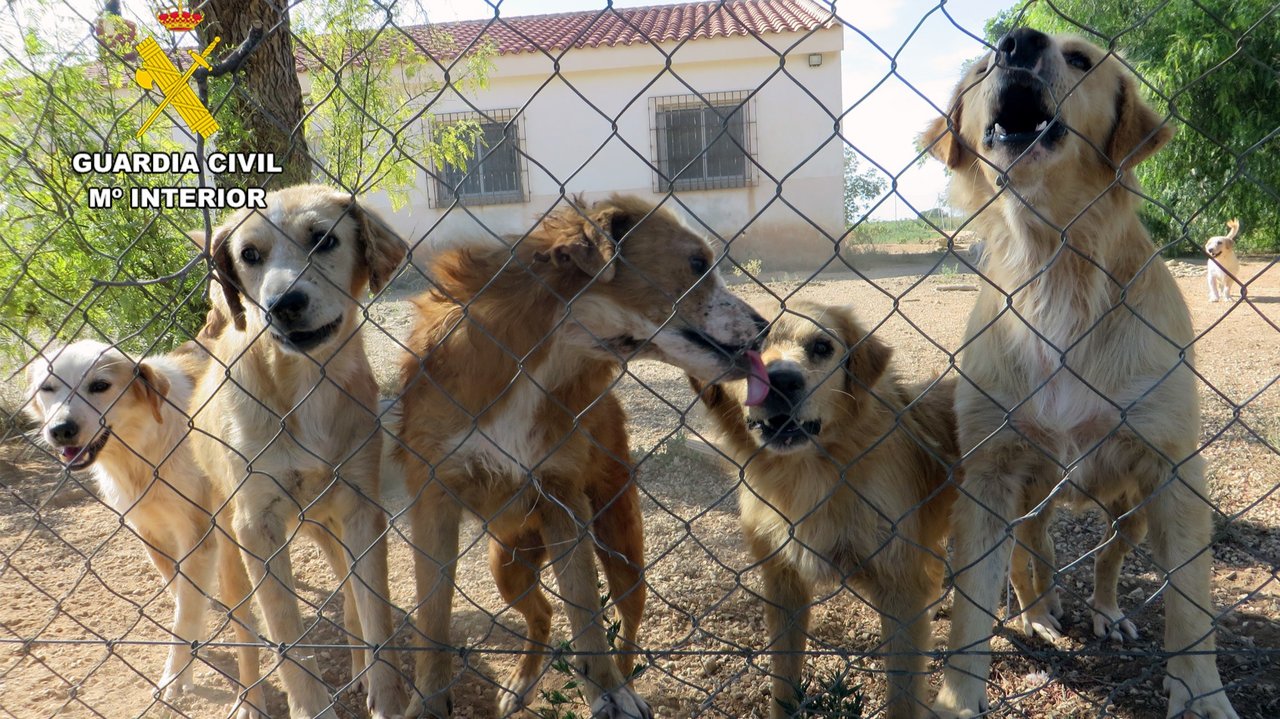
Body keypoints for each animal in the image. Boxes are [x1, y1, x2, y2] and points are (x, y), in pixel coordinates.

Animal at [27, 337, 264, 711]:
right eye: (47, 388)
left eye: (100, 386)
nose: (61, 430)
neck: (141, 452)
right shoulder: (149, 533)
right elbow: (182, 597)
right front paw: (192, 653)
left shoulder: (199, 535)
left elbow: (184, 613)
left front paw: (174, 677)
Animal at [188, 184, 409, 716]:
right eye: (249, 255)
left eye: (323, 239)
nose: (283, 303)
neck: (308, 384)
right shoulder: (257, 526)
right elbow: (286, 636)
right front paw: (309, 705)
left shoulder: (361, 508)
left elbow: (374, 613)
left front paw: (386, 693)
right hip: (231, 550)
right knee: (246, 632)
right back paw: (250, 698)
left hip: (330, 527)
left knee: (349, 597)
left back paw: (358, 671)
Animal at [394, 193, 762, 711]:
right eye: (696, 263)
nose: (767, 327)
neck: (540, 363)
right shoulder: (433, 500)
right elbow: (432, 621)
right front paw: (427, 701)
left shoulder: (562, 499)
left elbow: (587, 612)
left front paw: (610, 693)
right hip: (506, 563)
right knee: (543, 614)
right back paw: (522, 682)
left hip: (622, 548)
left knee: (627, 627)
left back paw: (626, 683)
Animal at [691, 300, 952, 716]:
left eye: (821, 347)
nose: (781, 381)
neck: (808, 475)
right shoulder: (783, 584)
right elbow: (783, 682)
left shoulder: (900, 586)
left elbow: (903, 695)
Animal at [921, 27, 1239, 716]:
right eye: (981, 68)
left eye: (1080, 60)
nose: (1016, 42)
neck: (1052, 265)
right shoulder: (989, 475)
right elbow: (971, 609)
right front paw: (959, 696)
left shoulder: (1175, 473)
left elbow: (1191, 607)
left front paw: (1201, 694)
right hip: (1031, 496)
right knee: (1031, 555)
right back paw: (1040, 612)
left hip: (1131, 508)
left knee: (1106, 559)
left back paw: (1104, 612)